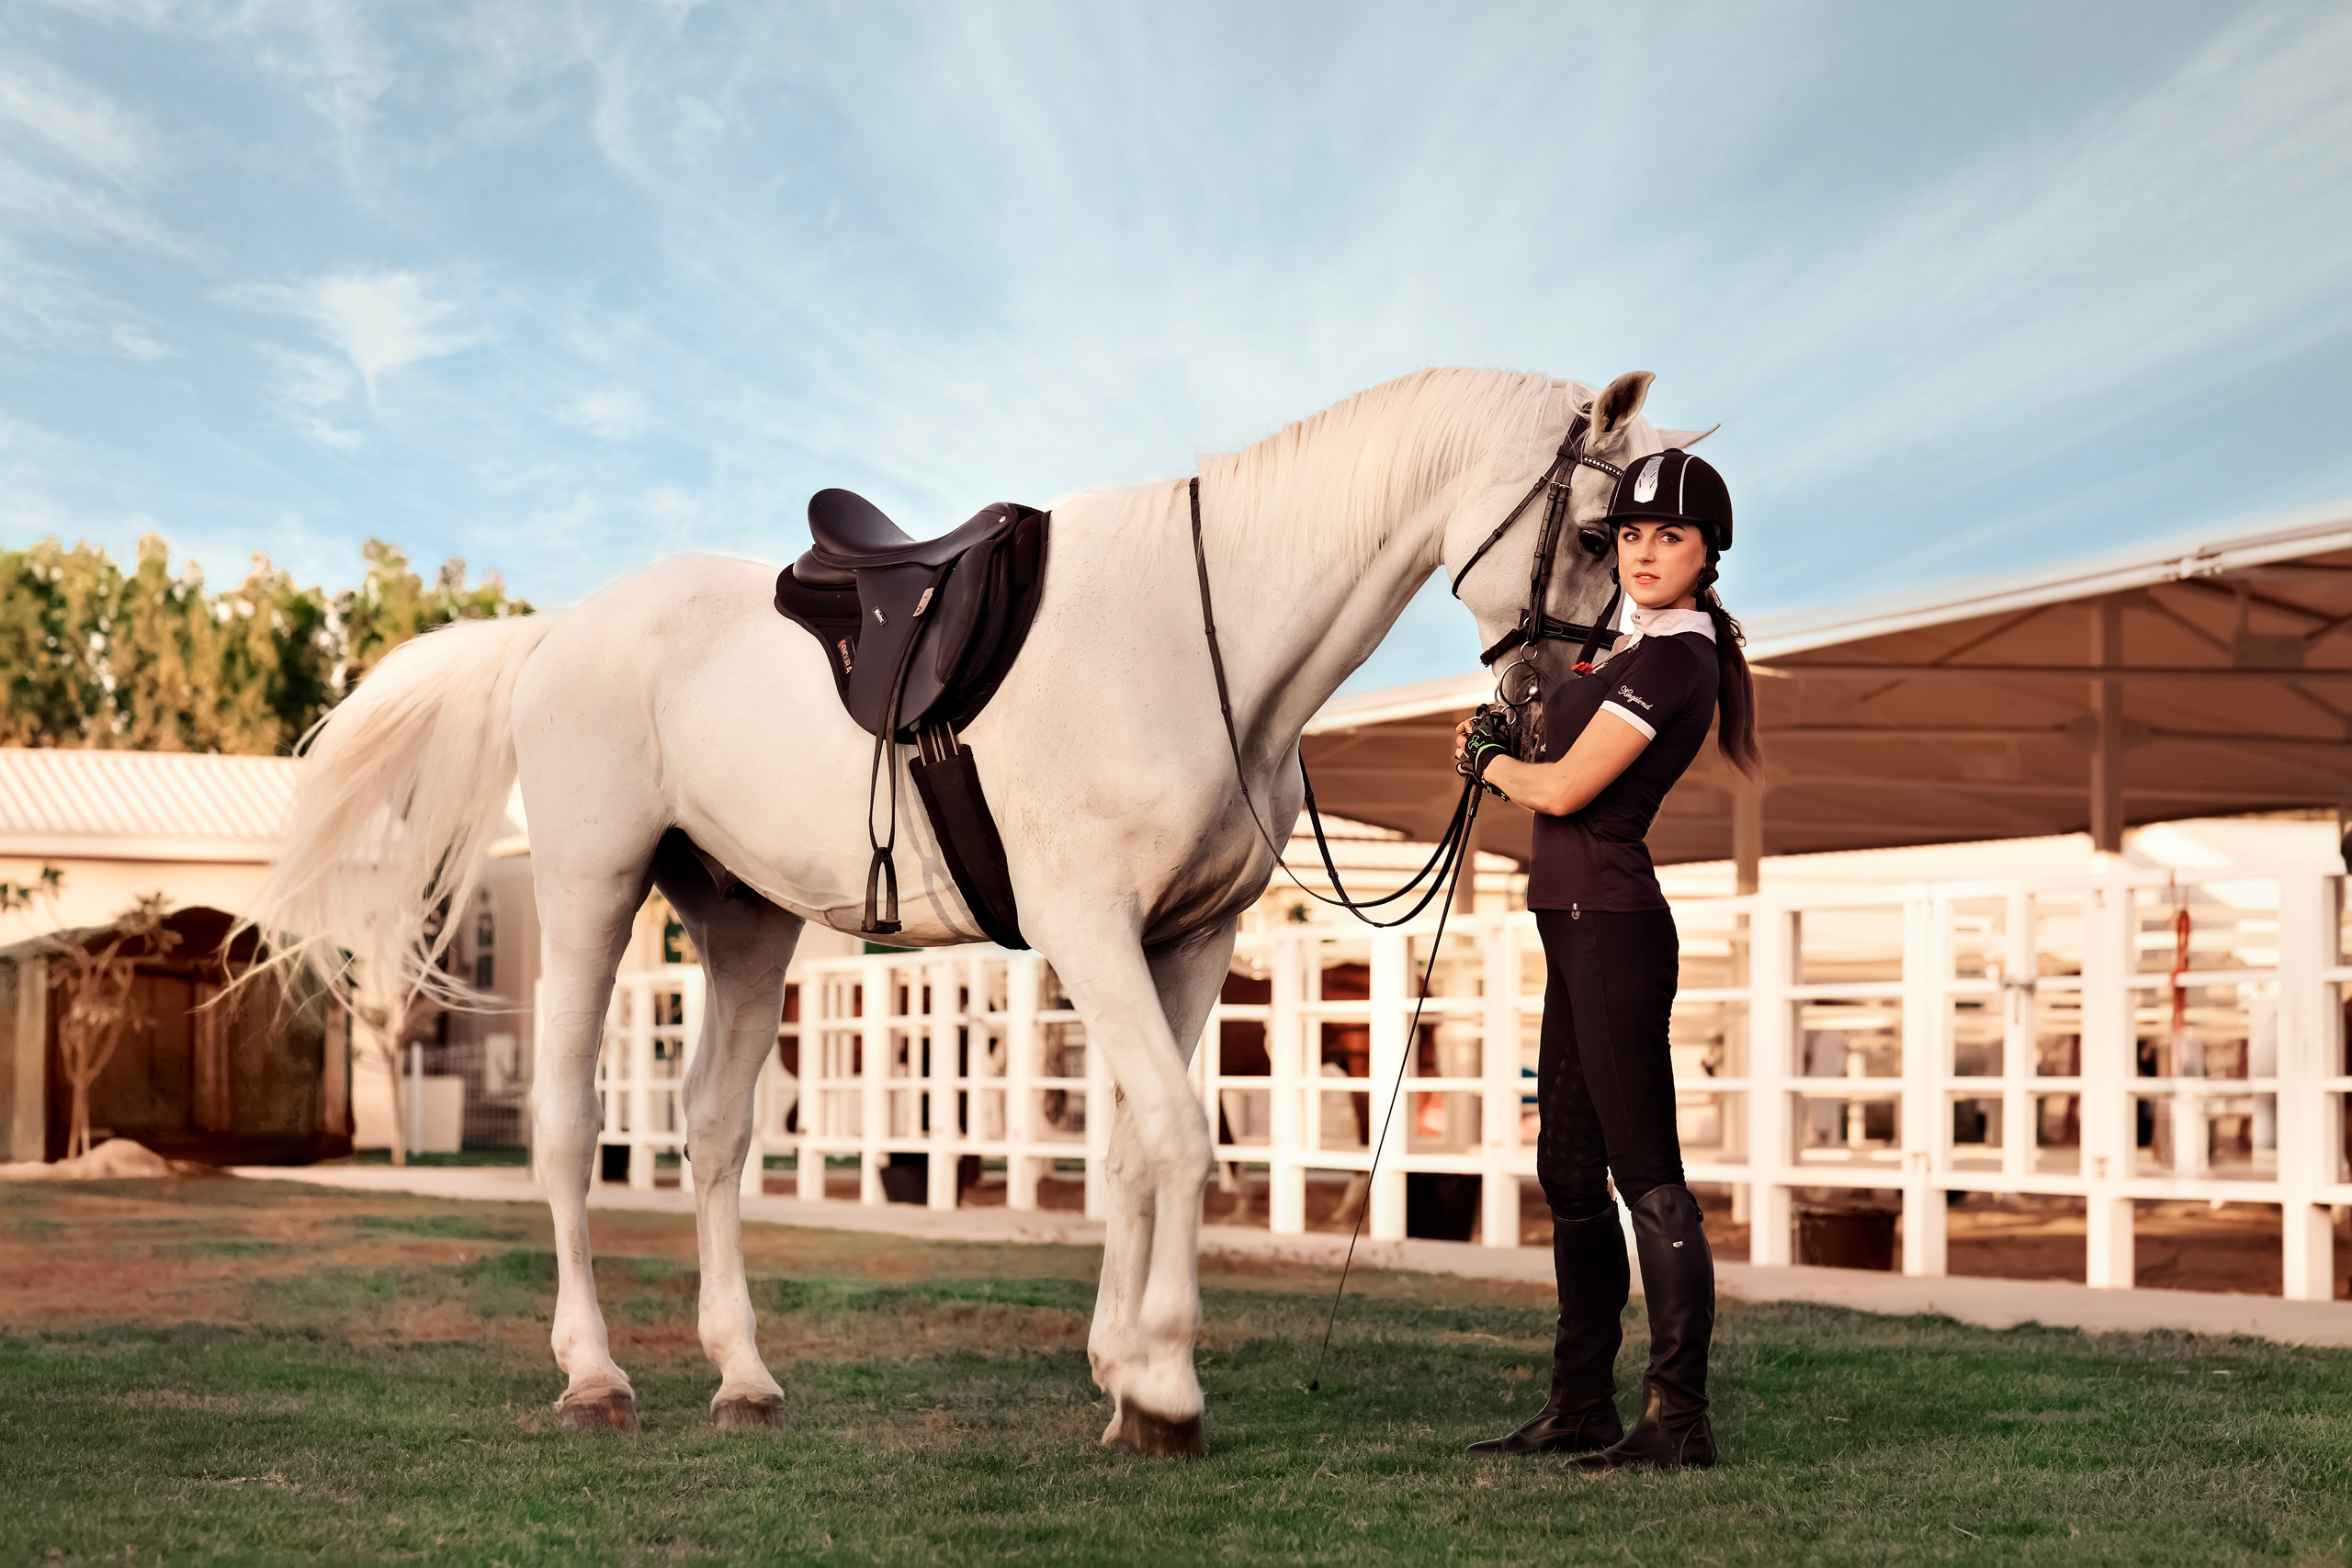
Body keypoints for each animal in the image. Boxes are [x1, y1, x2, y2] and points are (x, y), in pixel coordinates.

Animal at [247, 365, 1708, 1456]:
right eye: (1595, 532)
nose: (1552, 710)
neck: (1203, 640)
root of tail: (555, 629)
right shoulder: (1089, 930)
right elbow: (1181, 1136)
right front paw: (1164, 1389)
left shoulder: (1186, 945)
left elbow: (1133, 1150)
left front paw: (1122, 1367)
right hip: (593, 888)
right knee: (565, 1128)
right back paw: (595, 1373)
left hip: (743, 921)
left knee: (712, 1131)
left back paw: (743, 1374)